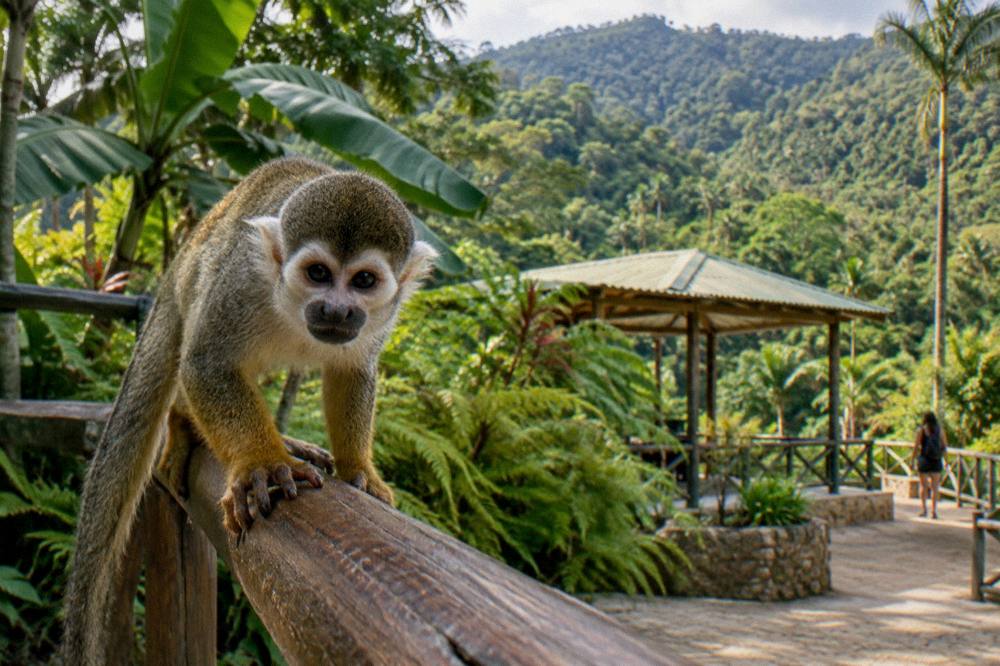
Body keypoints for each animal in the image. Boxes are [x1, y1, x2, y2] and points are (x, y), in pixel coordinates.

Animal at [60, 157, 438, 665]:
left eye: (363, 281)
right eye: (318, 273)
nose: (336, 310)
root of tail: (172, 271)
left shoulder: (377, 321)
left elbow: (353, 372)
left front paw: (358, 469)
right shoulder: (241, 281)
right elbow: (206, 362)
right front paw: (262, 462)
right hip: (194, 283)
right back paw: (185, 424)